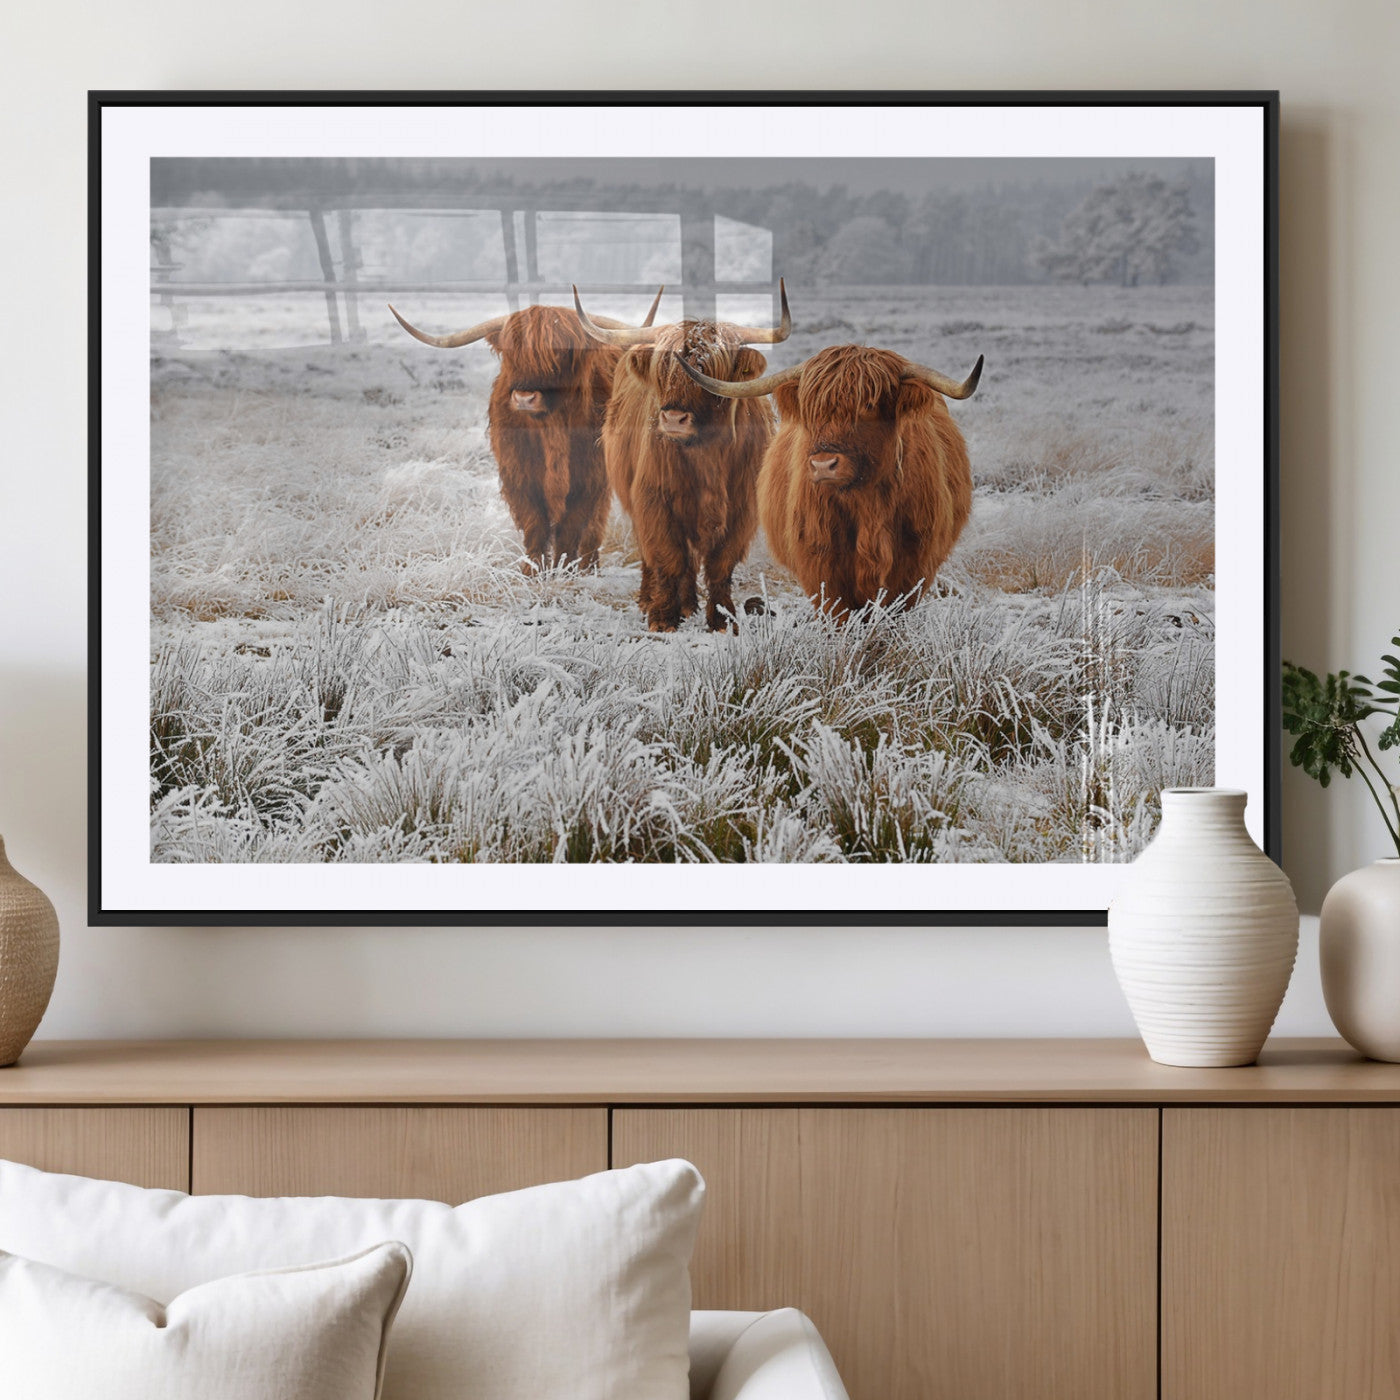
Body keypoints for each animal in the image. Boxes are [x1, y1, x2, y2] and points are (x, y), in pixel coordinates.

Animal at [388, 289, 663, 572]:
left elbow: (571, 526)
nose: (524, 398)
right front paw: (532, 571)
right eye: (511, 355)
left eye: (560, 354)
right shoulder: (519, 474)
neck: (551, 428)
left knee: (595, 524)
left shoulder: (590, 475)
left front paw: (564, 569)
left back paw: (589, 566)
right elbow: (535, 524)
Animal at [571, 281, 792, 632]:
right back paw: (654, 600)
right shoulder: (654, 500)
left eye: (709, 371)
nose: (673, 418)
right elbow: (669, 557)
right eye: (664, 370)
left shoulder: (742, 510)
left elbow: (719, 565)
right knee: (657, 556)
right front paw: (662, 617)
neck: (707, 456)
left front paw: (723, 618)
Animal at [679, 344, 983, 617]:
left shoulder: (913, 566)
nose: (823, 464)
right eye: (811, 409)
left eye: (869, 404)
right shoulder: (822, 566)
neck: (867, 505)